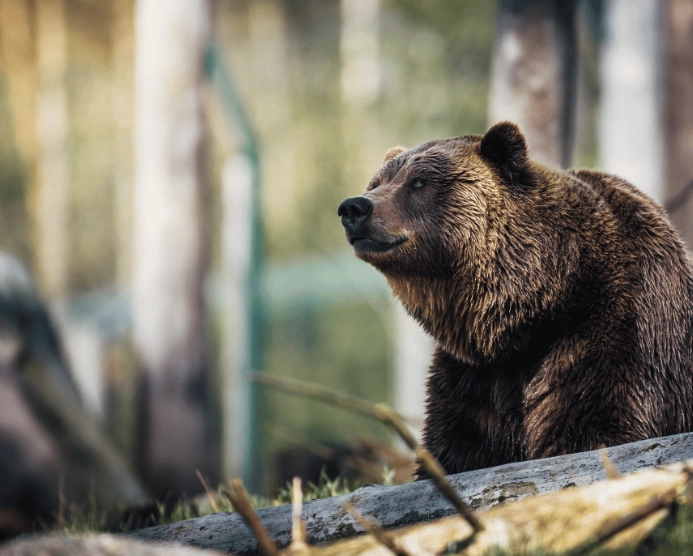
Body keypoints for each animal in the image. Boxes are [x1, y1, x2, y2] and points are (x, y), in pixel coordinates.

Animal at [338, 121, 693, 476]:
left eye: (419, 181)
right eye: (377, 182)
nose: (354, 207)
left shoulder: (617, 334)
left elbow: (595, 428)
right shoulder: (474, 377)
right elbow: (456, 446)